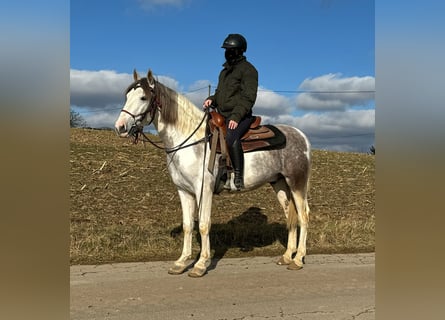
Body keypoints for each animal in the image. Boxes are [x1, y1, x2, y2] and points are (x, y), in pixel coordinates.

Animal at [113, 70, 308, 278]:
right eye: (127, 96)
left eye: (143, 97)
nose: (120, 127)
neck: (190, 141)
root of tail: (301, 135)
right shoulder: (184, 191)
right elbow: (188, 225)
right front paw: (181, 262)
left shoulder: (203, 190)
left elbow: (204, 224)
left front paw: (200, 264)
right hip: (280, 184)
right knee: (290, 216)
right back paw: (287, 256)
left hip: (297, 184)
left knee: (303, 216)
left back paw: (298, 259)